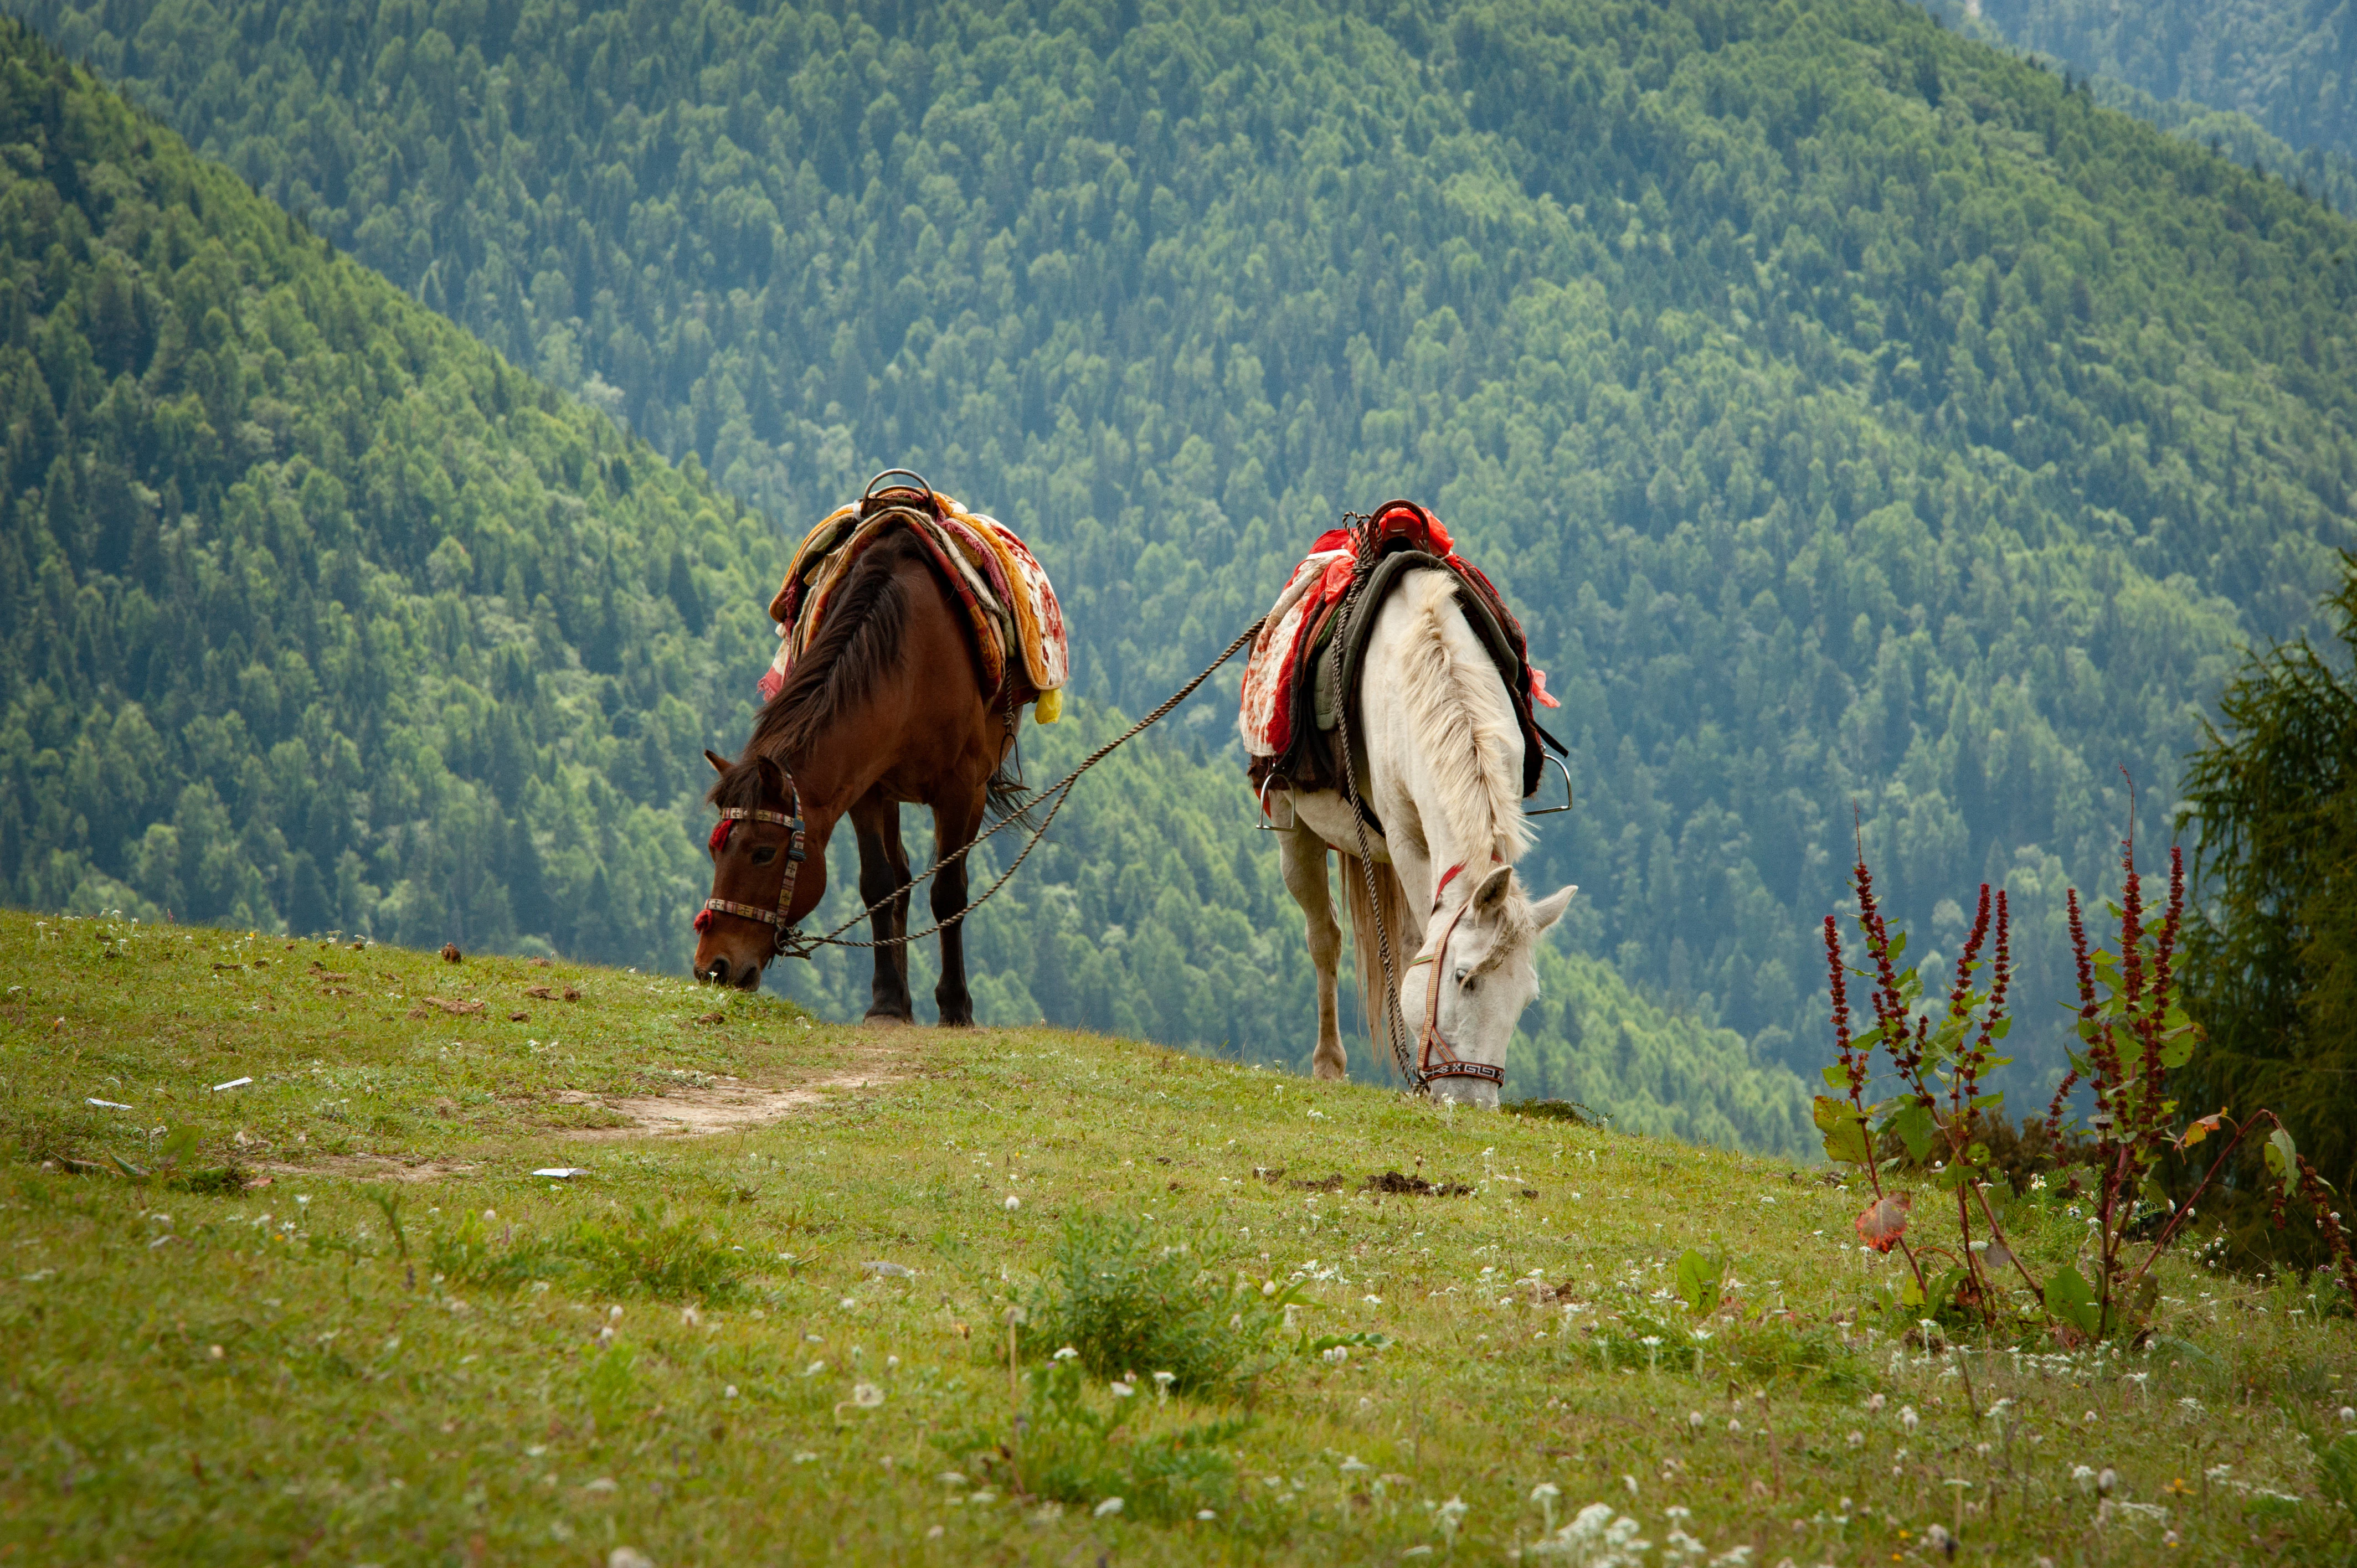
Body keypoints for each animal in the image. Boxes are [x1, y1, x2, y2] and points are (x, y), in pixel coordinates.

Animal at [693, 525, 1026, 1023]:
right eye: (716, 849)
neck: (914, 664)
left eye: (764, 853)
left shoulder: (959, 790)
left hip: (978, 788)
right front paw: (886, 1001)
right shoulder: (864, 789)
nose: (713, 967)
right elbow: (878, 884)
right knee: (901, 880)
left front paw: (955, 1006)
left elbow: (949, 893)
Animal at [1271, 568, 1576, 1105]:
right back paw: (1328, 1063)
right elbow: (1413, 944)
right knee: (1324, 937)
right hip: (1296, 829)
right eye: (1462, 978)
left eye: (1526, 998)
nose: (1473, 1102)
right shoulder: (1406, 841)